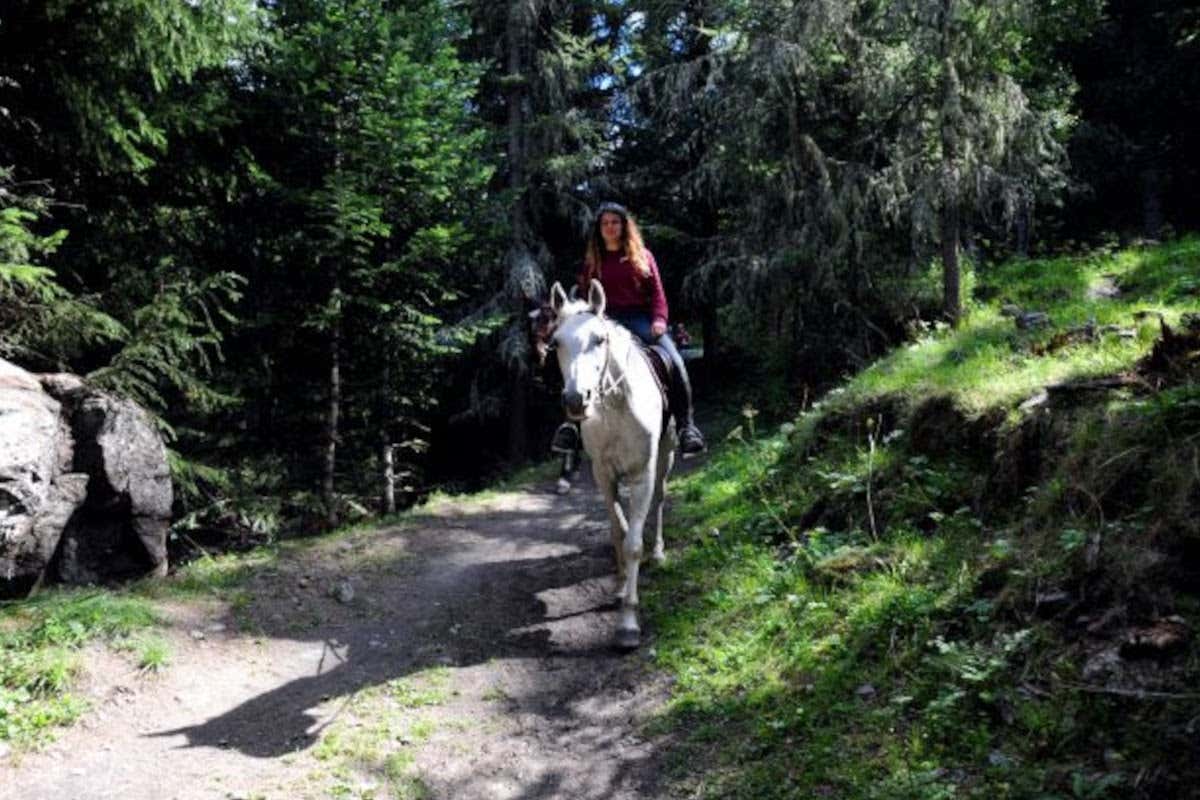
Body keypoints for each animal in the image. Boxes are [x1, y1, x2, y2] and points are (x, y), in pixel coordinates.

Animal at [544, 278, 675, 649]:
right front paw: (619, 587)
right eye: (556, 343)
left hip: (666, 456)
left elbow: (633, 544)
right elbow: (619, 530)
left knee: (660, 500)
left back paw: (658, 553)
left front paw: (628, 623)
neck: (616, 408)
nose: (576, 400)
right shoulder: (603, 474)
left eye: (599, 340)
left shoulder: (643, 473)